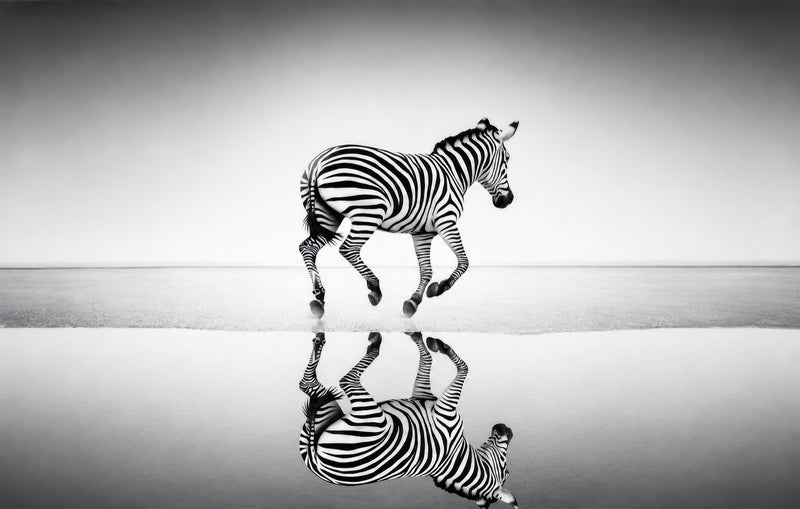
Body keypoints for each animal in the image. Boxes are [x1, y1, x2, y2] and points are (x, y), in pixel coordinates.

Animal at [299, 118, 519, 318]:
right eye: (507, 159)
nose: (509, 200)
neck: (453, 173)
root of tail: (318, 163)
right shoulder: (446, 220)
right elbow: (464, 262)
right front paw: (439, 288)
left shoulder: (423, 233)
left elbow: (426, 270)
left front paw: (414, 301)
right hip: (369, 212)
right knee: (348, 249)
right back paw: (374, 288)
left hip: (328, 216)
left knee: (307, 247)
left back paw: (319, 296)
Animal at [299, 332, 519, 509]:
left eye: (506, 472)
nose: (507, 428)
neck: (455, 457)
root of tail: (316, 463)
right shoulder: (426, 396)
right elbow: (428, 360)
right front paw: (421, 338)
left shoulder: (446, 411)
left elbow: (464, 367)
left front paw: (441, 347)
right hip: (328, 410)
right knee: (308, 384)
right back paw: (321, 342)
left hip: (374, 419)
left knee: (341, 380)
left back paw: (372, 343)